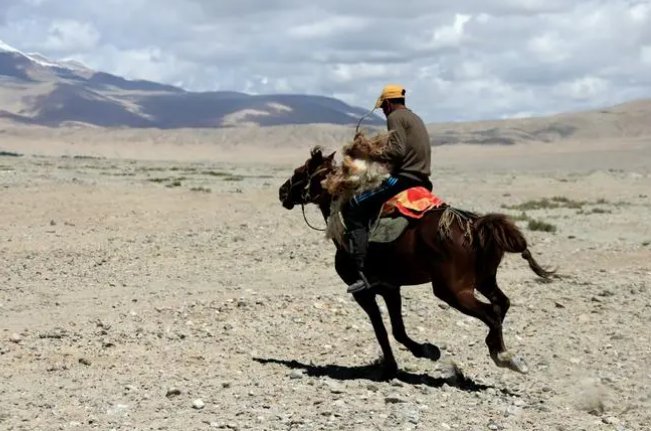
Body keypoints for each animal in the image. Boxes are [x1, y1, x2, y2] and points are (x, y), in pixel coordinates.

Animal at [278, 147, 554, 380]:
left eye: (300, 172)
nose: (282, 192)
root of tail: (475, 225)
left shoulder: (364, 292)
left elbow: (381, 329)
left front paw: (393, 365)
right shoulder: (390, 288)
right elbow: (397, 329)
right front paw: (426, 351)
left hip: (453, 291)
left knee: (491, 313)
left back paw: (504, 356)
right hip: (484, 280)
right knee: (502, 304)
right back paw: (502, 353)